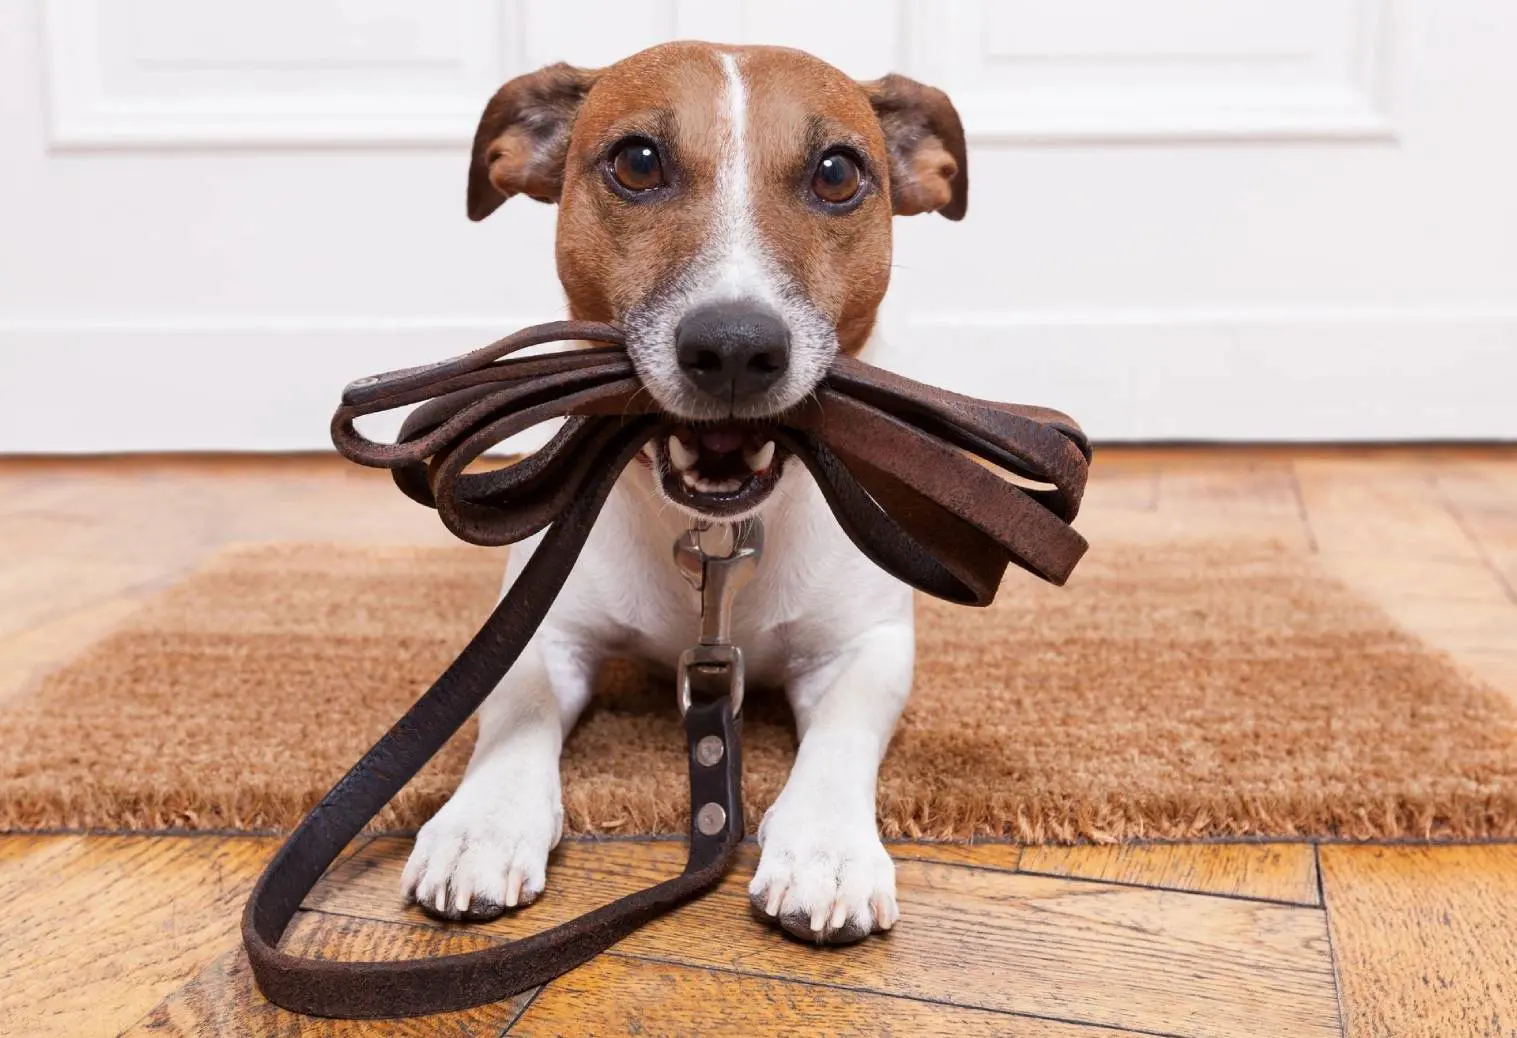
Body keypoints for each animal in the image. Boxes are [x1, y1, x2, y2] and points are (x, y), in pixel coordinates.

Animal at [400, 40, 970, 946]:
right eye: (637, 161)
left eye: (836, 173)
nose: (734, 348)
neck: (716, 535)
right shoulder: (542, 630)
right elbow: (515, 708)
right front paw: (480, 823)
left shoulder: (866, 647)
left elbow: (842, 736)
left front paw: (825, 848)